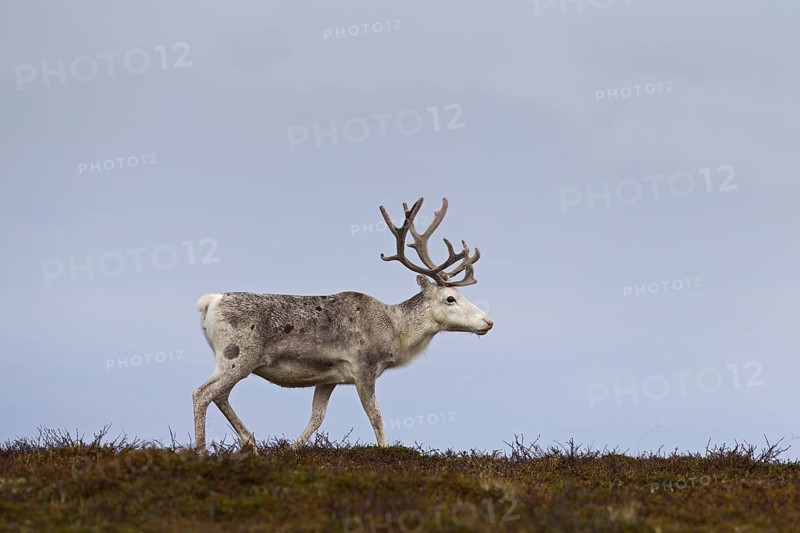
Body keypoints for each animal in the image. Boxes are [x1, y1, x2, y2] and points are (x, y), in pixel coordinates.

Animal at [192, 196, 493, 453]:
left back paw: (250, 443)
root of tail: (210, 302)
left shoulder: (329, 378)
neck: (395, 334)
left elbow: (317, 417)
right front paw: (386, 453)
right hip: (239, 356)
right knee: (202, 393)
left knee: (220, 396)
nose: (488, 321)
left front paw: (291, 449)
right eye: (450, 298)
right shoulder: (364, 367)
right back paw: (202, 452)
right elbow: (376, 416)